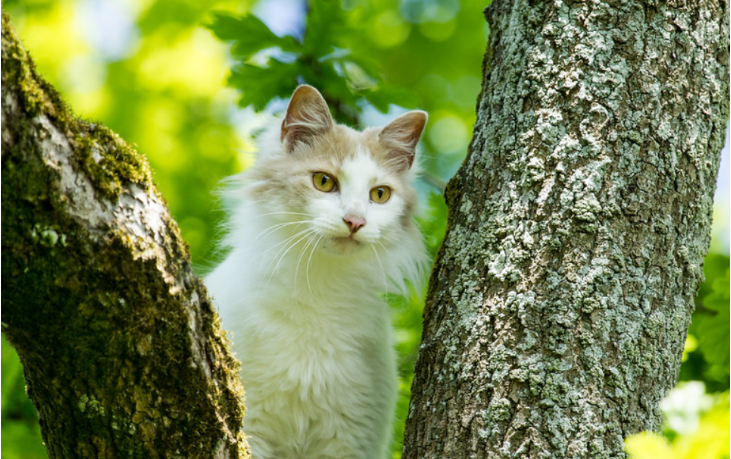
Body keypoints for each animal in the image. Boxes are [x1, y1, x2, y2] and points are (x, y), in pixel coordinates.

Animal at [206, 85, 428, 459]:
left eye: (379, 194)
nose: (355, 221)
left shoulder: (351, 438)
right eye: (324, 182)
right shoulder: (253, 428)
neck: (318, 284)